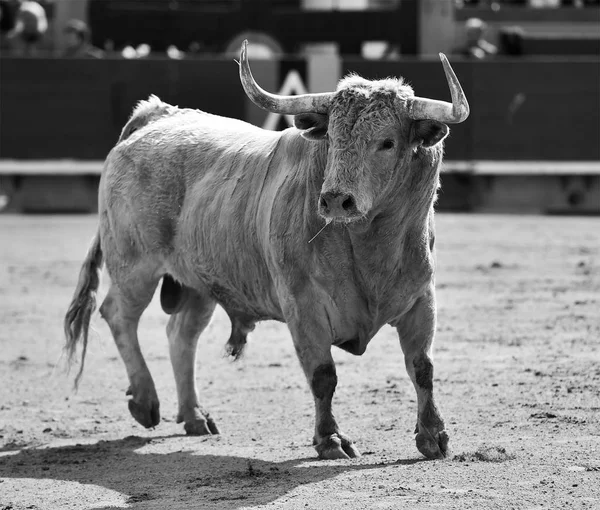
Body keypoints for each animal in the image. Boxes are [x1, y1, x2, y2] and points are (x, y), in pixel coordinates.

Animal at [64, 41, 468, 460]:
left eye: (387, 142)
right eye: (331, 137)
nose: (335, 200)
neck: (367, 245)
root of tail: (156, 116)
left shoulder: (421, 298)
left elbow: (422, 367)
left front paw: (433, 435)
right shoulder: (302, 305)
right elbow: (323, 375)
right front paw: (330, 439)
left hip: (197, 281)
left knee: (181, 335)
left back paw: (194, 415)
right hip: (134, 265)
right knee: (118, 315)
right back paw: (146, 402)